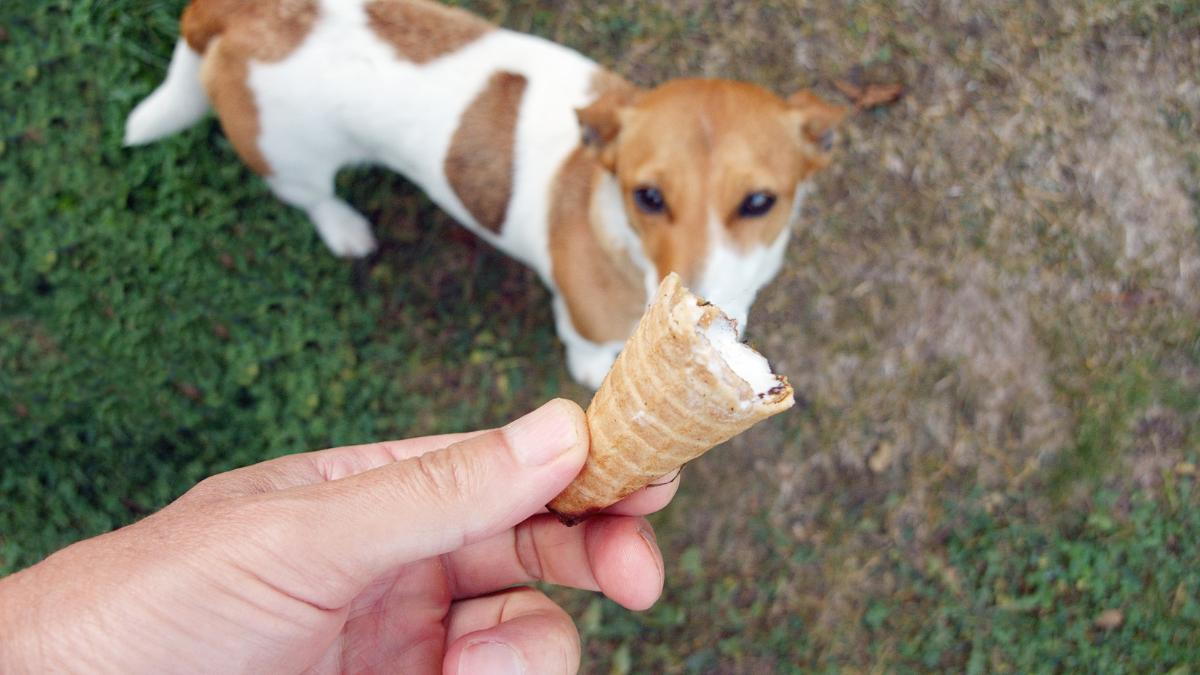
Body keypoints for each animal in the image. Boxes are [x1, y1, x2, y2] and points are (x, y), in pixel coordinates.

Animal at [126, 0, 844, 386]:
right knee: (311, 197)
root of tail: (240, 11)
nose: (704, 307)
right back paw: (343, 226)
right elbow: (587, 348)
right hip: (291, 160)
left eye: (759, 202)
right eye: (647, 196)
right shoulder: (583, 319)